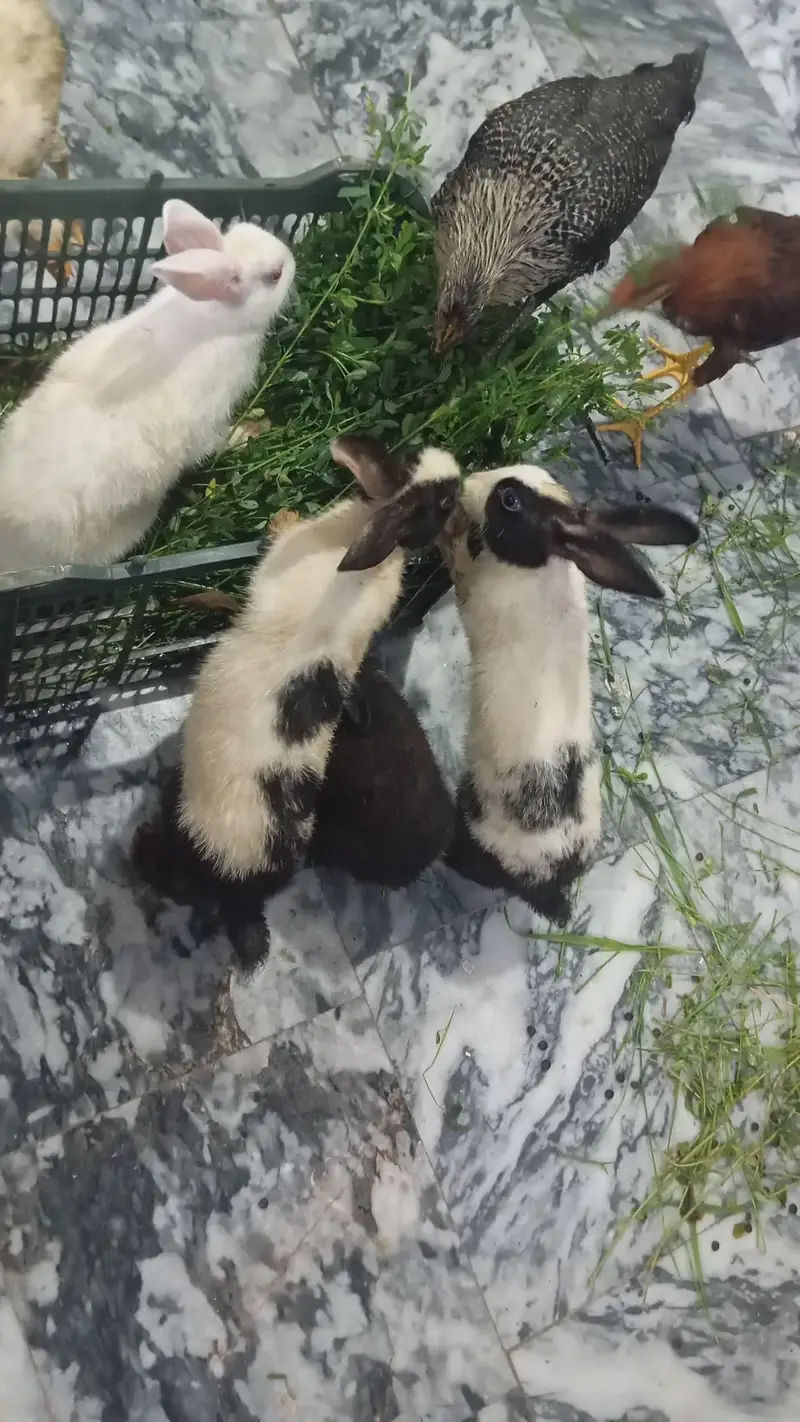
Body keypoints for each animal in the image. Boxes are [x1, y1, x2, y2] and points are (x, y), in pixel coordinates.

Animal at [0, 198, 295, 575]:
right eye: (275, 275)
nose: (292, 255)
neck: (214, 314)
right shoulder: (209, 419)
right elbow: (216, 440)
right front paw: (249, 433)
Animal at [439, 464, 699, 922]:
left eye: (510, 500)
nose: (468, 482)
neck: (541, 565)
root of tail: (549, 877)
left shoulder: (472, 593)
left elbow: (458, 568)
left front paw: (447, 534)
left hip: (474, 821)